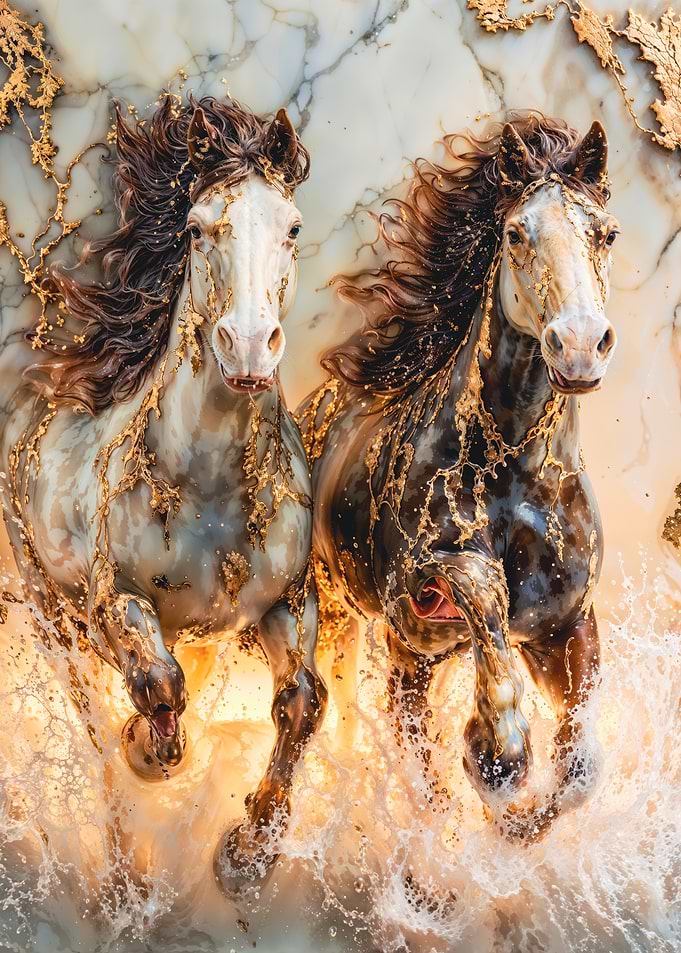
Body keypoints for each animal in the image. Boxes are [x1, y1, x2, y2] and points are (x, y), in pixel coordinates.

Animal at [0, 94, 327, 895]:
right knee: (92, 722)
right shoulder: (110, 598)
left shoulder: (287, 600)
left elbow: (302, 702)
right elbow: (157, 681)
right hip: (51, 615)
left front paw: (246, 856)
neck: (208, 492)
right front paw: (149, 752)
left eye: (291, 226)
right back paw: (125, 877)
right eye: (197, 227)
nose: (249, 347)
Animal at [298, 114, 619, 833]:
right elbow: (478, 589)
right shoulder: (417, 618)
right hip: (354, 631)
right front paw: (497, 755)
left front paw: (515, 819)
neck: (515, 478)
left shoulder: (563, 627)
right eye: (516, 232)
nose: (579, 346)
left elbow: (581, 769)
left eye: (605, 233)